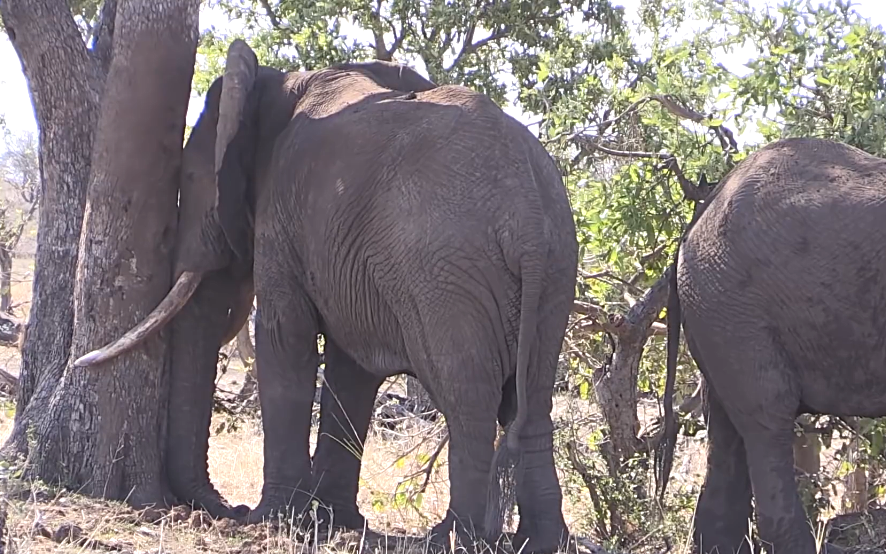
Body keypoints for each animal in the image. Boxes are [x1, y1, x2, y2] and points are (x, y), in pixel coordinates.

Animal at [78, 40, 584, 552]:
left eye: (193, 179)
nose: (228, 509)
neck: (283, 83)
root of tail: (526, 215)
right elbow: (351, 368)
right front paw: (333, 521)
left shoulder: (282, 213)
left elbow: (286, 343)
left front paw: (275, 519)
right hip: (556, 268)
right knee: (532, 400)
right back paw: (544, 540)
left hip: (448, 274)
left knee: (469, 400)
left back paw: (451, 538)